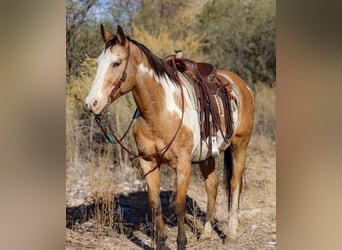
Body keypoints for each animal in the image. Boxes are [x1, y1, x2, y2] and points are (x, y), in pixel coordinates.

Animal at [85, 24, 255, 249]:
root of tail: (242, 85)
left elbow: (179, 205)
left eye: (116, 63)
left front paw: (181, 243)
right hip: (207, 155)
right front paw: (161, 242)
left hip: (240, 145)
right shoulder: (147, 162)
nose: (91, 103)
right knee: (212, 185)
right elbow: (155, 204)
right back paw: (206, 234)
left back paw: (232, 235)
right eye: (98, 63)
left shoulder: (182, 164)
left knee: (235, 184)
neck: (158, 112)